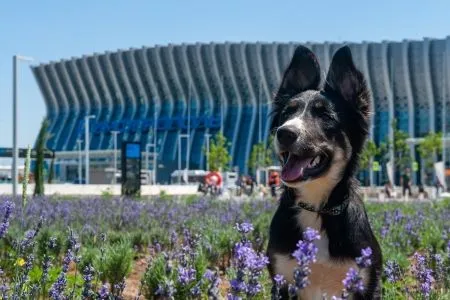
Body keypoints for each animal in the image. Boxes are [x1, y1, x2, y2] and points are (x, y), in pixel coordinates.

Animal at [268, 45, 384, 300]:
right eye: (287, 113)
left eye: (326, 116)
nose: (284, 133)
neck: (317, 208)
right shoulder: (282, 281)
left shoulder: (364, 284)